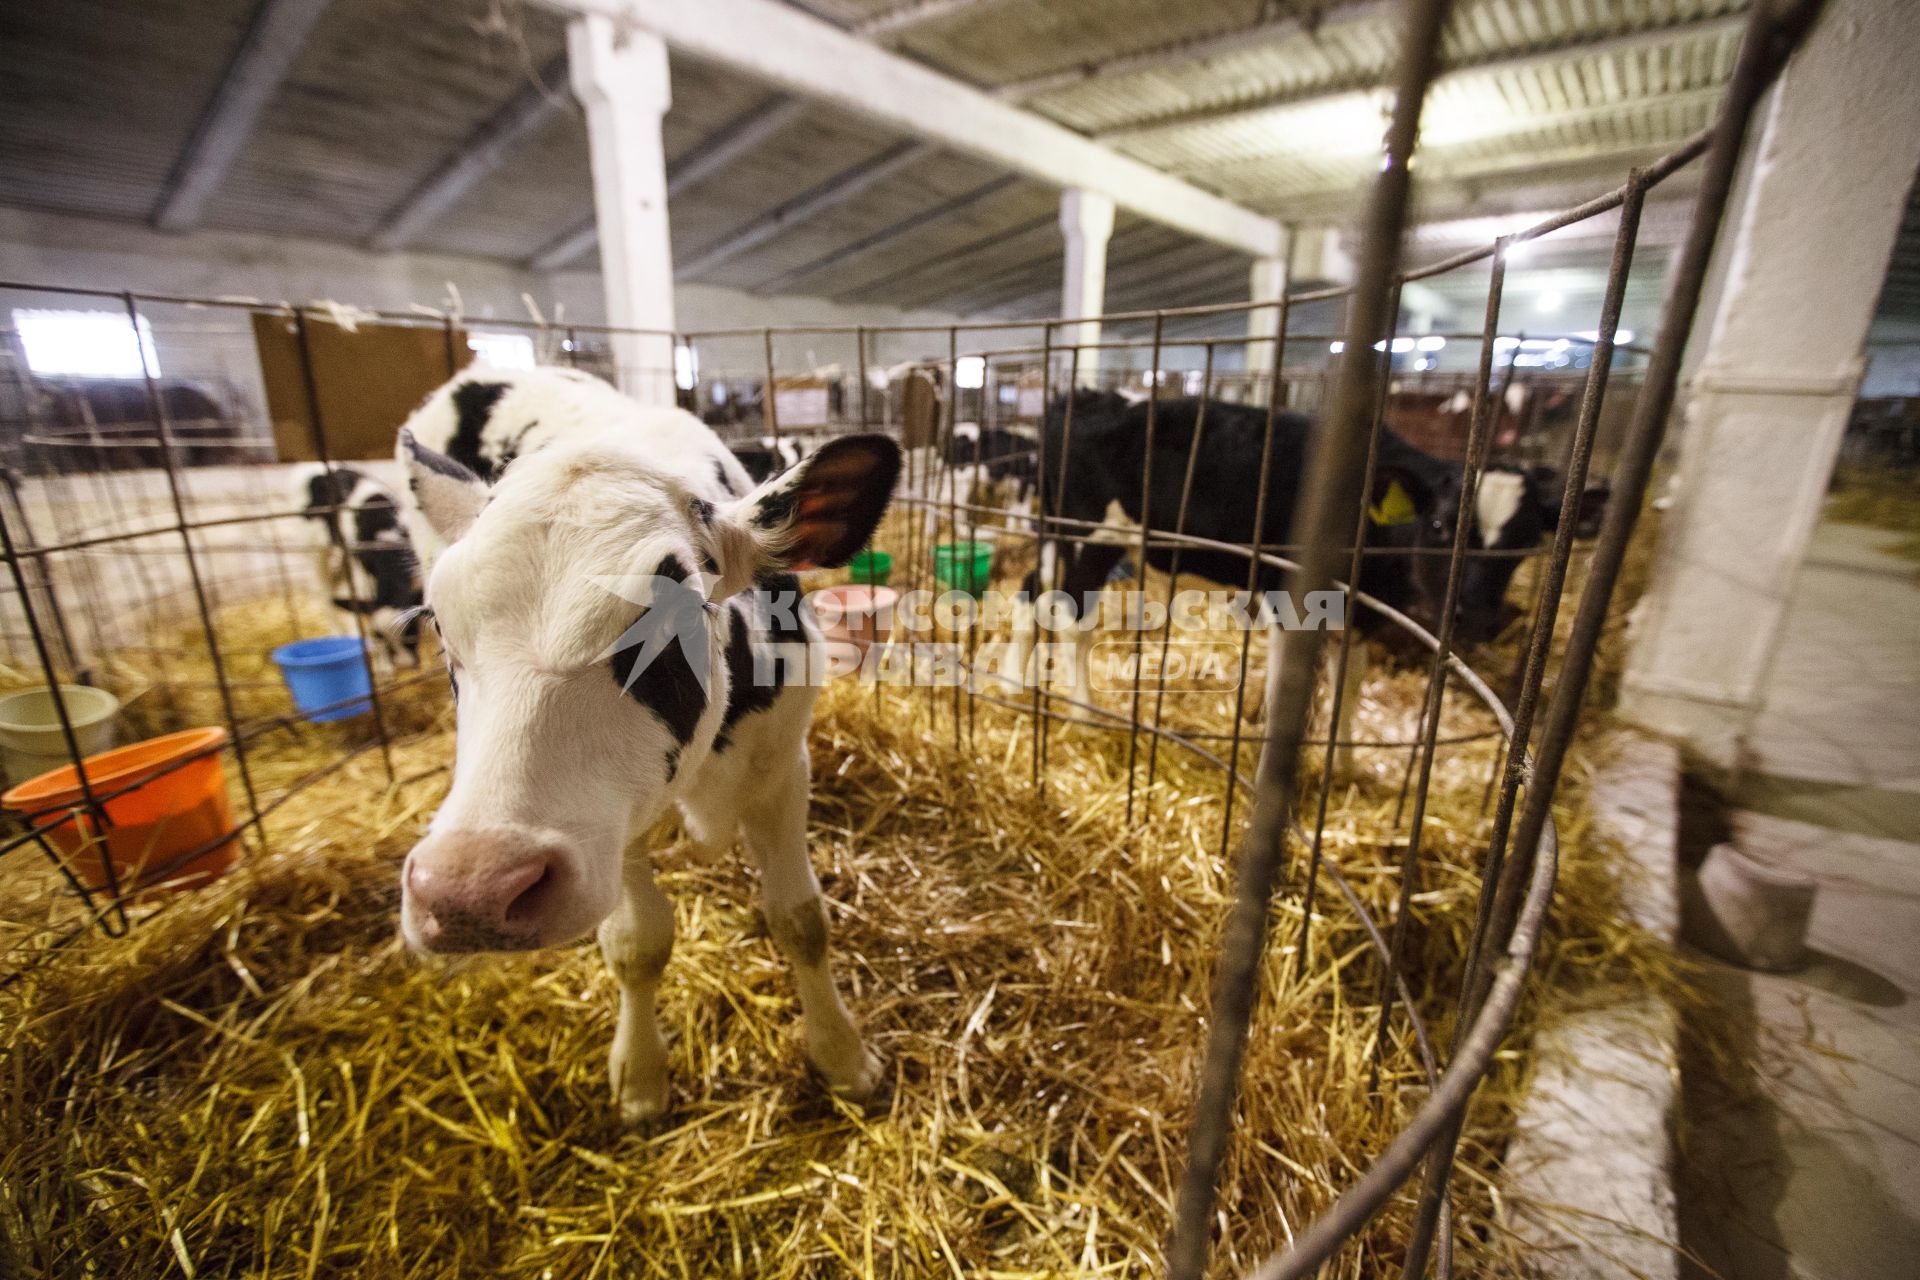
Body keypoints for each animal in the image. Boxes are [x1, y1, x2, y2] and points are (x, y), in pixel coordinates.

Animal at [295, 466, 424, 667]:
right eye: (379, 635)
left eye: (411, 629)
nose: (406, 663)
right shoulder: (362, 572)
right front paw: (384, 666)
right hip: (316, 553)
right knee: (325, 595)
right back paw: (337, 633)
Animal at [393, 362, 902, 1120]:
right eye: (437, 622)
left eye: (674, 619)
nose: (468, 892)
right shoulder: (614, 822)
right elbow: (637, 943)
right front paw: (640, 1077)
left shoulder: (785, 763)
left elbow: (801, 919)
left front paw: (843, 1056)